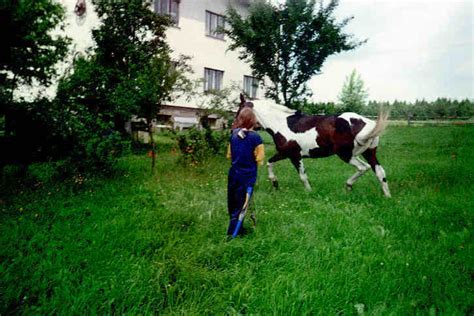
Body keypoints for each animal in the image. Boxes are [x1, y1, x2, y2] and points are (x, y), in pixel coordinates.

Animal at [239, 94, 390, 198]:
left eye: (239, 111)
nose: (236, 129)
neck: (282, 124)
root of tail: (367, 123)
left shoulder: (294, 156)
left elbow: (302, 176)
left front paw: (309, 192)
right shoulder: (284, 154)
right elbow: (269, 163)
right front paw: (275, 183)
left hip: (345, 154)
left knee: (363, 167)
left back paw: (348, 186)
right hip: (369, 152)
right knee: (379, 172)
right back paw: (387, 196)